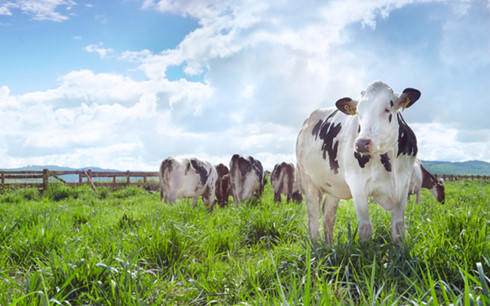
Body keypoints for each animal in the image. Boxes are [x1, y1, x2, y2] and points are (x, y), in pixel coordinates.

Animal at [294, 81, 422, 244]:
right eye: (358, 113)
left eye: (387, 109)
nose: (361, 144)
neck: (391, 163)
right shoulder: (358, 186)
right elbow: (365, 229)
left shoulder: (403, 185)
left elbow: (399, 228)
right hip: (308, 180)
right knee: (313, 218)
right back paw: (316, 245)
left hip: (333, 187)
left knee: (328, 215)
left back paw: (329, 245)